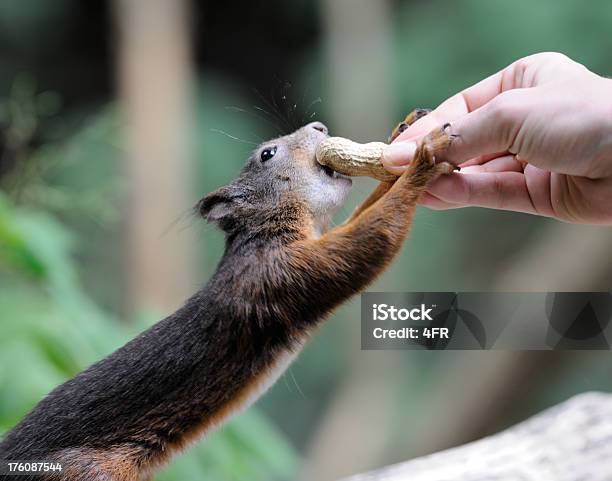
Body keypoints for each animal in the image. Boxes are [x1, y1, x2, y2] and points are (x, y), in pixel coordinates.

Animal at [0, 111, 454, 480]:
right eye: (267, 154)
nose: (320, 127)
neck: (267, 231)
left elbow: (368, 214)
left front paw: (406, 131)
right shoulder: (275, 274)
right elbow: (368, 243)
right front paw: (424, 157)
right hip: (83, 472)